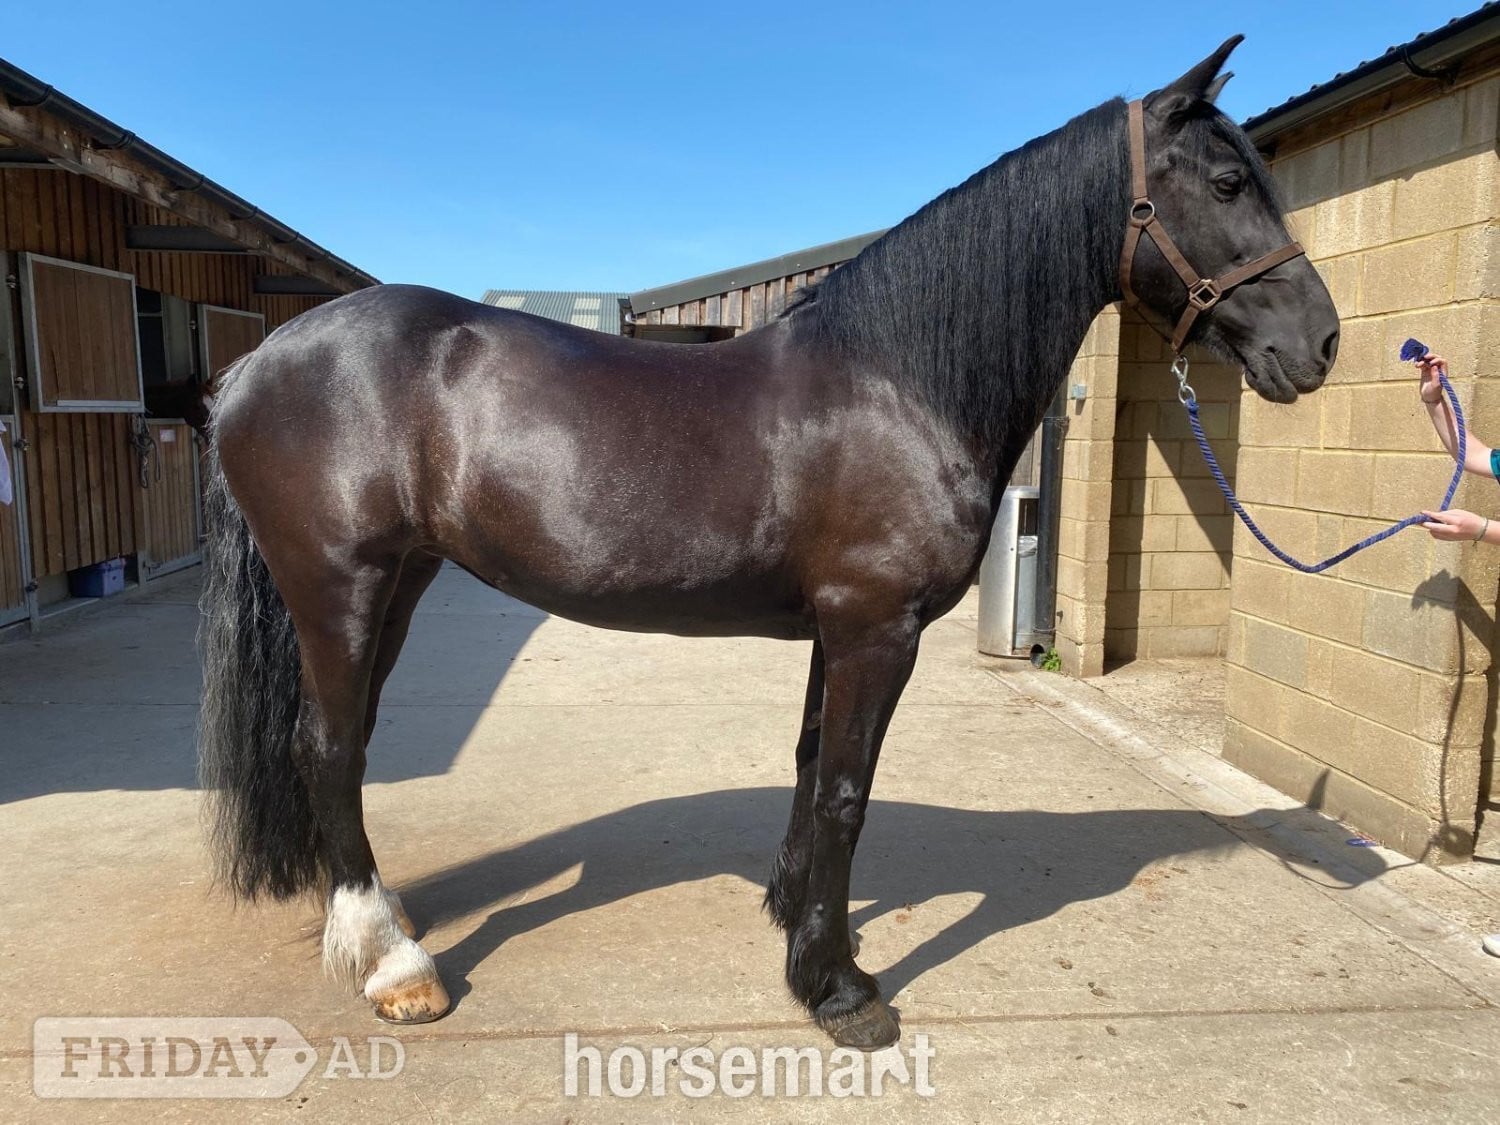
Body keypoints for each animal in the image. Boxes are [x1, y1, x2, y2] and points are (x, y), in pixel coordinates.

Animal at [198, 37, 1339, 1051]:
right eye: (1229, 180)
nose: (1321, 344)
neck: (898, 382)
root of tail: (257, 363)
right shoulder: (878, 629)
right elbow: (845, 794)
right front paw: (838, 989)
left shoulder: (838, 630)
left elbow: (808, 767)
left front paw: (798, 924)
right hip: (340, 586)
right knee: (329, 748)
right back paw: (396, 967)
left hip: (399, 584)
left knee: (340, 747)